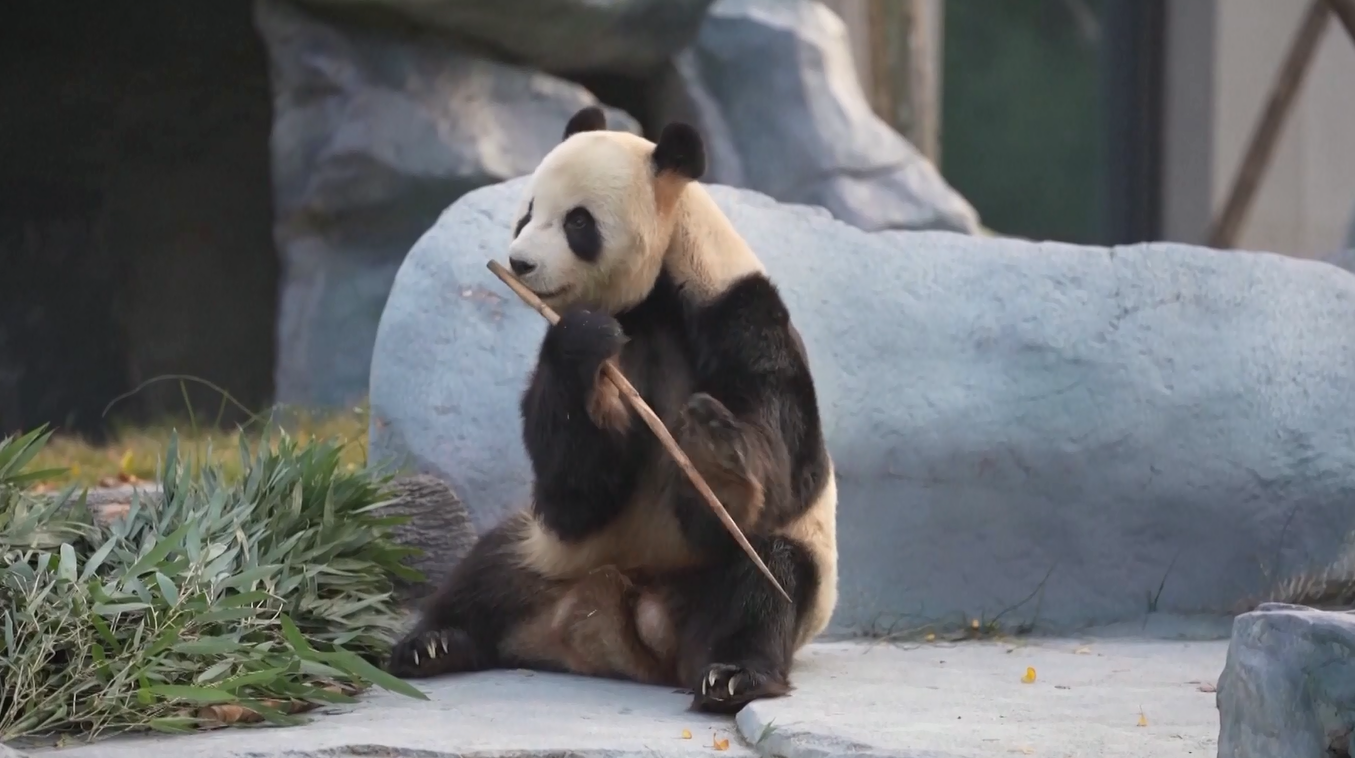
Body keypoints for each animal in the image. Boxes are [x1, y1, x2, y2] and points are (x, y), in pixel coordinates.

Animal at [385, 105, 838, 713]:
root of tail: (610, 625)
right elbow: (575, 488)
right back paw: (434, 643)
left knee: (765, 580)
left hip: (753, 582)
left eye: (578, 223)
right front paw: (585, 342)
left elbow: (784, 466)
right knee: (486, 568)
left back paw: (734, 675)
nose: (520, 263)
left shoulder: (738, 312)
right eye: (527, 212)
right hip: (548, 556)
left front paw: (714, 456)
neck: (651, 297)